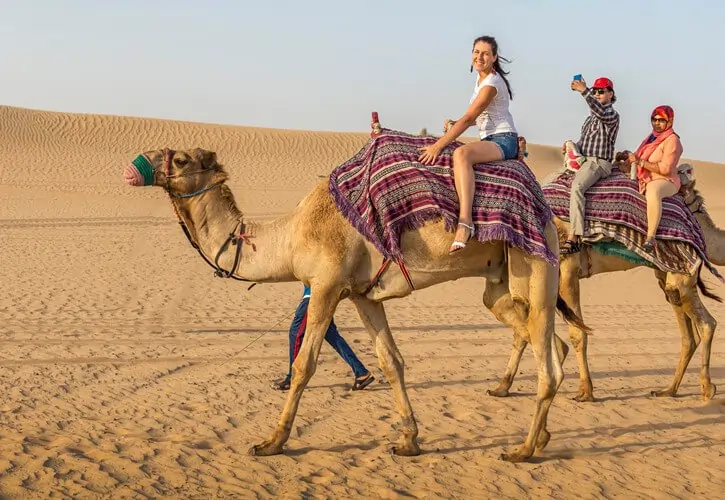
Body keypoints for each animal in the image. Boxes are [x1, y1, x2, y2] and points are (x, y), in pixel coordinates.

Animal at [122, 146, 590, 463]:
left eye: (181, 160)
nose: (133, 166)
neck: (291, 233)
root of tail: (548, 215)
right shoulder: (365, 296)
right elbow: (391, 362)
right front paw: (408, 440)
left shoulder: (326, 284)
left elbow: (305, 364)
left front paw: (272, 442)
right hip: (501, 285)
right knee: (546, 341)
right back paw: (542, 436)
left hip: (536, 266)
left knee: (549, 361)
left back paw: (523, 449)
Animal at [488, 160, 723, 403]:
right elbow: (522, 331)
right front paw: (502, 387)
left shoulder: (568, 269)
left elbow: (577, 333)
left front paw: (585, 391)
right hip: (667, 270)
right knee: (688, 332)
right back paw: (669, 390)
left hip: (682, 271)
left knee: (706, 323)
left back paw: (707, 388)